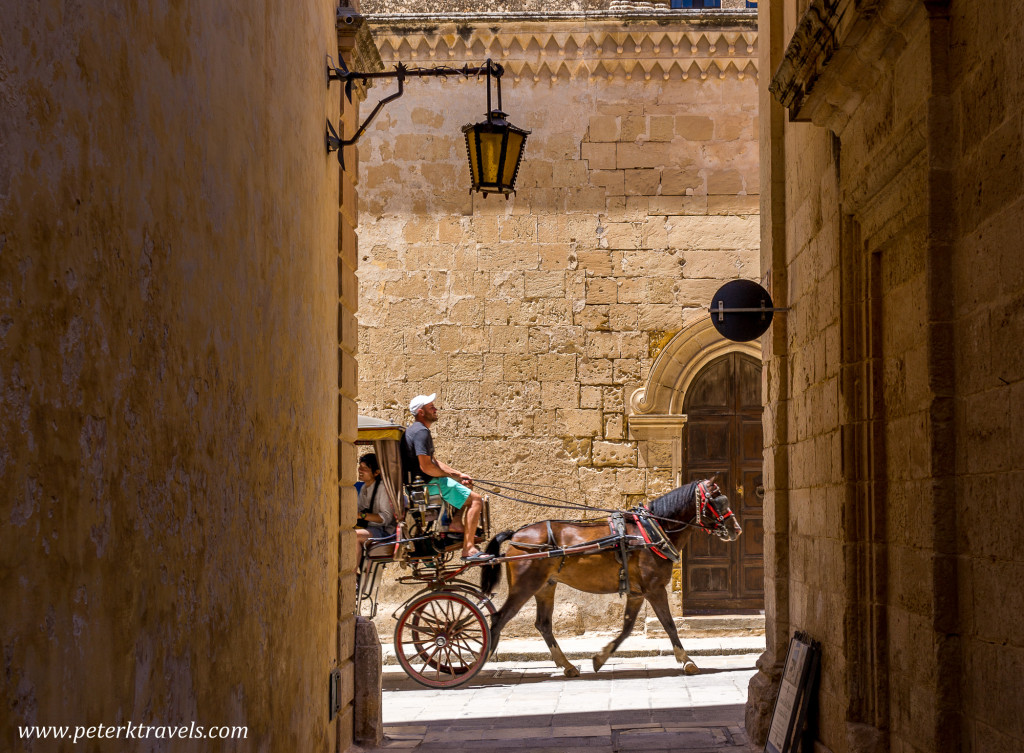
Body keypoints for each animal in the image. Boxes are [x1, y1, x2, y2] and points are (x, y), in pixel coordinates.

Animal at [479, 479, 745, 680]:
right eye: (717, 500)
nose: (737, 529)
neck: (652, 529)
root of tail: (516, 534)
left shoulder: (637, 592)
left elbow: (627, 628)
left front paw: (600, 657)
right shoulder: (655, 589)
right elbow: (669, 624)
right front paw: (686, 661)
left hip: (545, 587)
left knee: (543, 624)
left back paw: (568, 666)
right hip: (525, 586)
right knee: (498, 619)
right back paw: (480, 663)